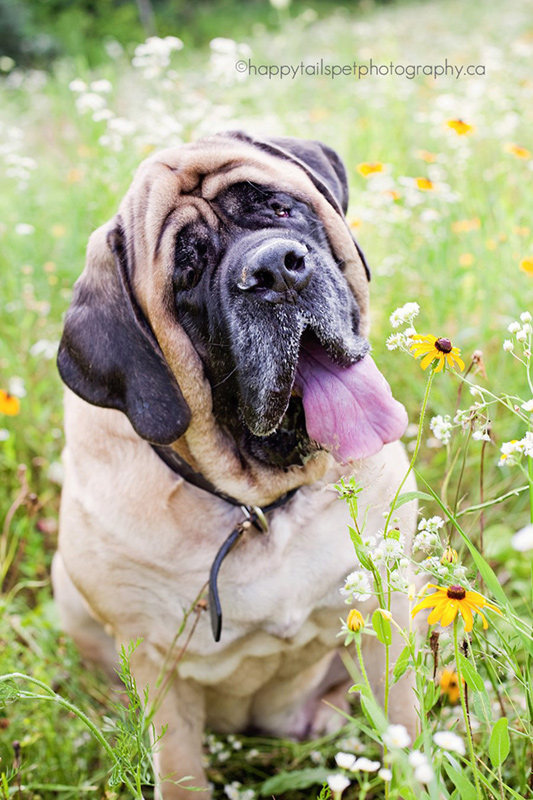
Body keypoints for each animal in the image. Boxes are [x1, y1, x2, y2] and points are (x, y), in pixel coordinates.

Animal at [55, 130, 420, 792]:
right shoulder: (159, 667)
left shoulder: (388, 605)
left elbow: (406, 723)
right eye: (189, 271)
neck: (260, 508)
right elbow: (180, 772)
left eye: (279, 209)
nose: (276, 268)